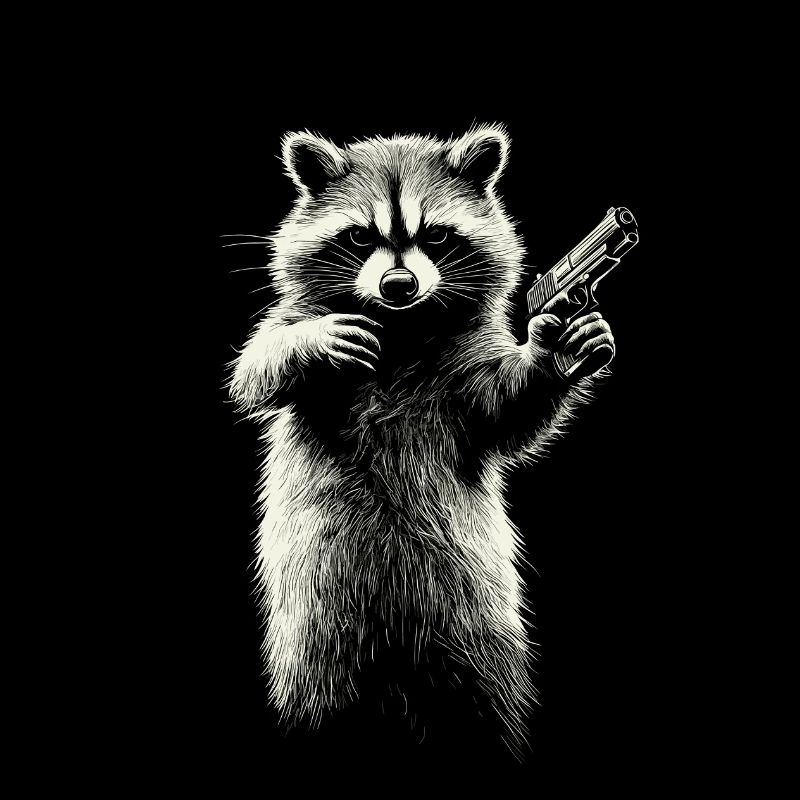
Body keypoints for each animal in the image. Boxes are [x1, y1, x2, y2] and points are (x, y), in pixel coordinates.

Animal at [228, 124, 615, 759]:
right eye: (361, 236)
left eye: (434, 234)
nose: (398, 285)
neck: (404, 326)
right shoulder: (285, 322)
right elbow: (255, 370)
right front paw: (312, 341)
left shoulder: (466, 367)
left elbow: (502, 408)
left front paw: (553, 353)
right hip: (316, 605)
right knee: (320, 681)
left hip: (474, 610)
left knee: (482, 685)